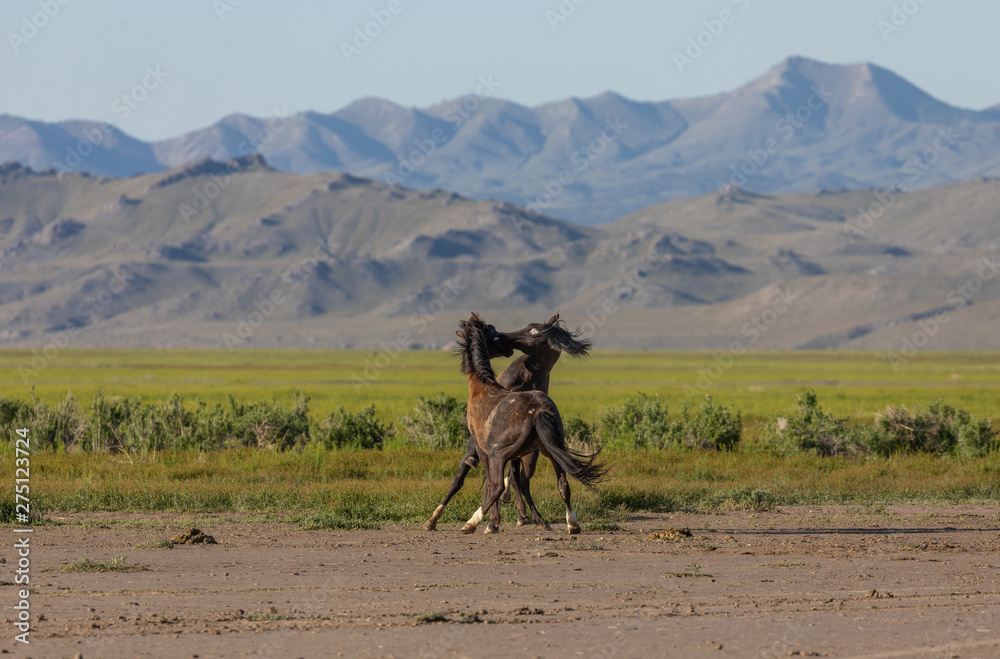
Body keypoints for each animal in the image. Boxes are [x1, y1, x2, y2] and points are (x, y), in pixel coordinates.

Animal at [418, 314, 588, 532]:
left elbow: (476, 481)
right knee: (562, 484)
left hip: (499, 455)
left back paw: (473, 523)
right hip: (551, 451)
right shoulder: (513, 456)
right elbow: (513, 481)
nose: (505, 342)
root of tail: (538, 411)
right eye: (493, 331)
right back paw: (570, 524)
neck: (483, 386)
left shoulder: (481, 448)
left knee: (498, 486)